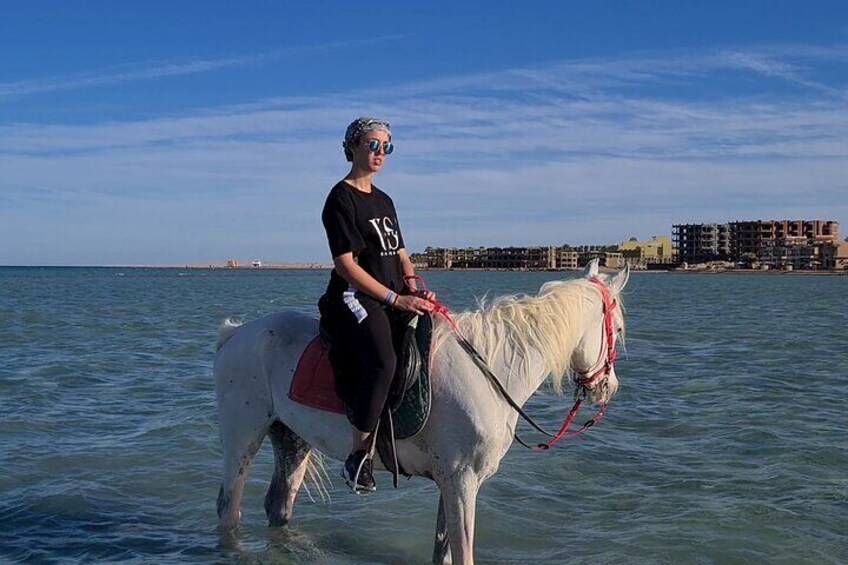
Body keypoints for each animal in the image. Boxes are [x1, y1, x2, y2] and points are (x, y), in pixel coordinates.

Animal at [215, 262, 628, 564]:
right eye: (620, 330)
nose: (607, 388)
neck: (488, 369)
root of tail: (237, 333)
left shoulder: (453, 482)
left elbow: (442, 551)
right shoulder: (462, 482)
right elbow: (463, 554)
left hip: (291, 437)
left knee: (278, 505)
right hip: (242, 438)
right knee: (228, 510)